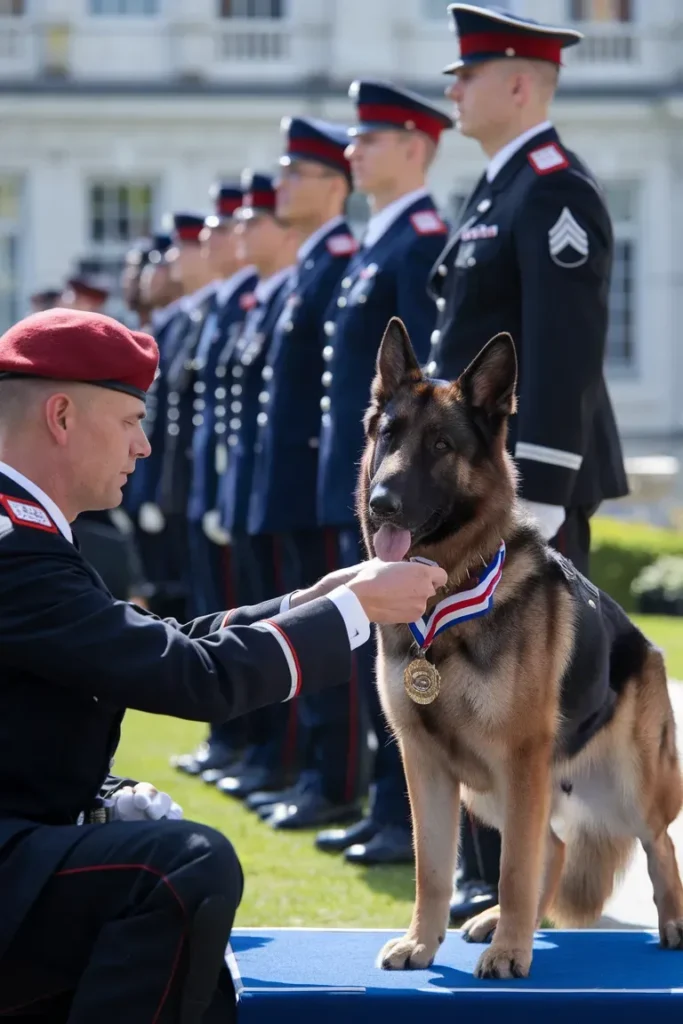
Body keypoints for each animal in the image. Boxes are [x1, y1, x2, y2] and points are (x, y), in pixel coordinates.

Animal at [360, 315, 679, 978]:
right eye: (388, 436)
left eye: (441, 446)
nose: (382, 505)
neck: (448, 597)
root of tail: (647, 644)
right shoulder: (426, 765)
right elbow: (433, 869)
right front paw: (423, 942)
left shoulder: (520, 759)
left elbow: (512, 869)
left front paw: (510, 951)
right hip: (485, 790)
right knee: (553, 844)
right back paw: (503, 923)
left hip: (628, 786)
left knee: (657, 844)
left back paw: (670, 923)